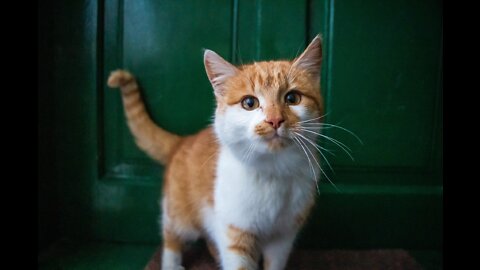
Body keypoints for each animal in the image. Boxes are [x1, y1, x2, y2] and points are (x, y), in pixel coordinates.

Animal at [108, 35, 324, 270]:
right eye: (249, 103)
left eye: (292, 98)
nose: (275, 120)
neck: (272, 170)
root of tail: (184, 141)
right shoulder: (234, 230)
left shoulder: (283, 236)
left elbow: (274, 262)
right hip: (182, 213)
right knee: (171, 234)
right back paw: (171, 263)